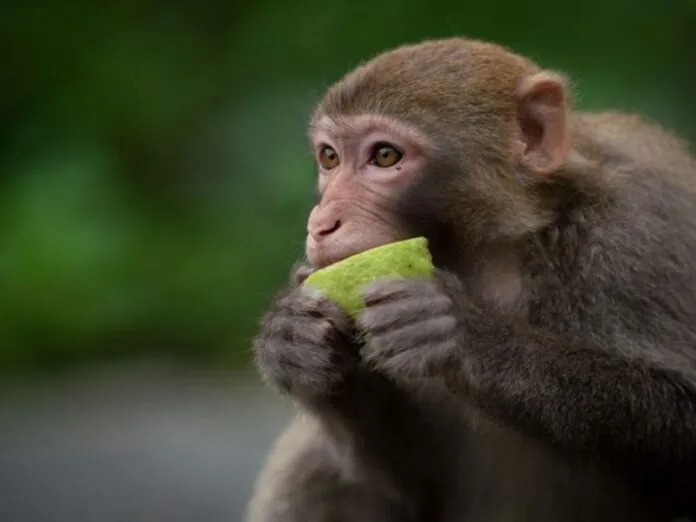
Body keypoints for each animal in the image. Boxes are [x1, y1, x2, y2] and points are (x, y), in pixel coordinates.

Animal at [243, 37, 696, 520]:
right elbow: (413, 484)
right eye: (330, 157)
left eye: (385, 156)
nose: (321, 223)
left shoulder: (643, 229)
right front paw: (292, 339)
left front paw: (462, 334)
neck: (498, 255)